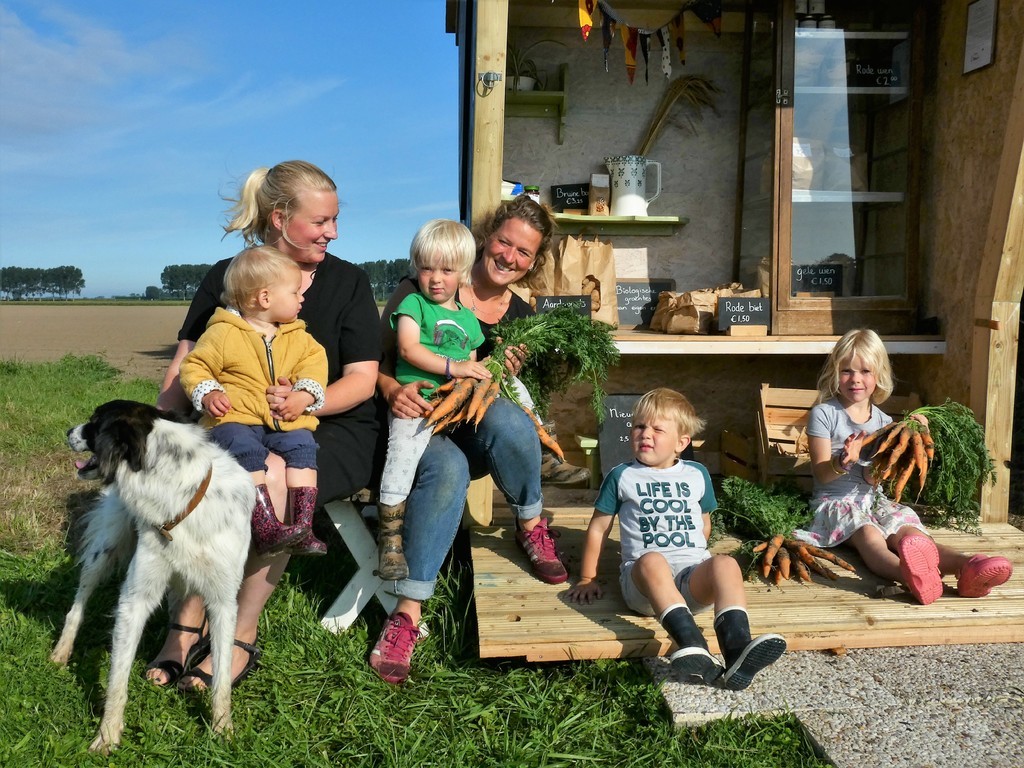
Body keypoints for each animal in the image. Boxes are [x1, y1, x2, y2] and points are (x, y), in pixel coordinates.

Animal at [50, 405, 254, 753]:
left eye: (94, 423)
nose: (67, 431)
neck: (179, 497)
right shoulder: (135, 598)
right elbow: (118, 678)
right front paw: (107, 736)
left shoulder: (224, 601)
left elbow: (223, 676)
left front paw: (222, 730)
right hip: (106, 550)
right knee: (78, 603)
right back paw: (62, 651)